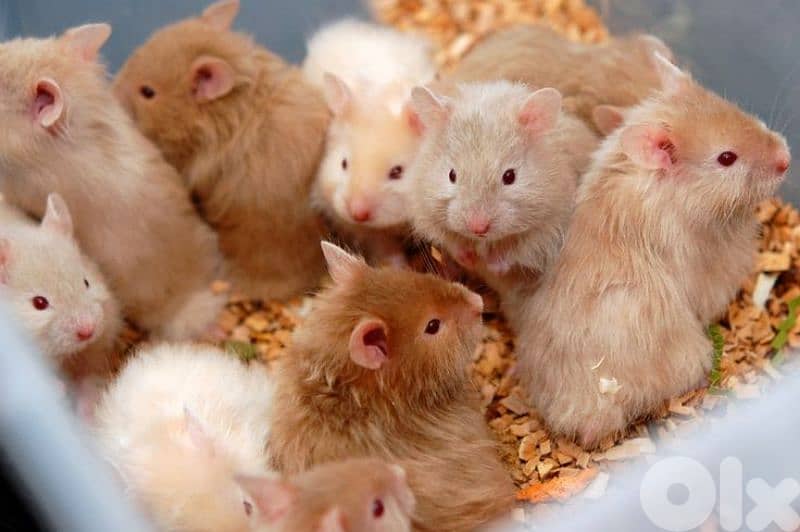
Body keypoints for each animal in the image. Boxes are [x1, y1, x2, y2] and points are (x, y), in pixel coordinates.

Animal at [408, 80, 597, 327]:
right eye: (451, 175)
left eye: (509, 176)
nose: (478, 228)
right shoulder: (427, 213)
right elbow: (453, 241)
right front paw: (470, 259)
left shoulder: (546, 228)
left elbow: (514, 249)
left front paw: (491, 265)